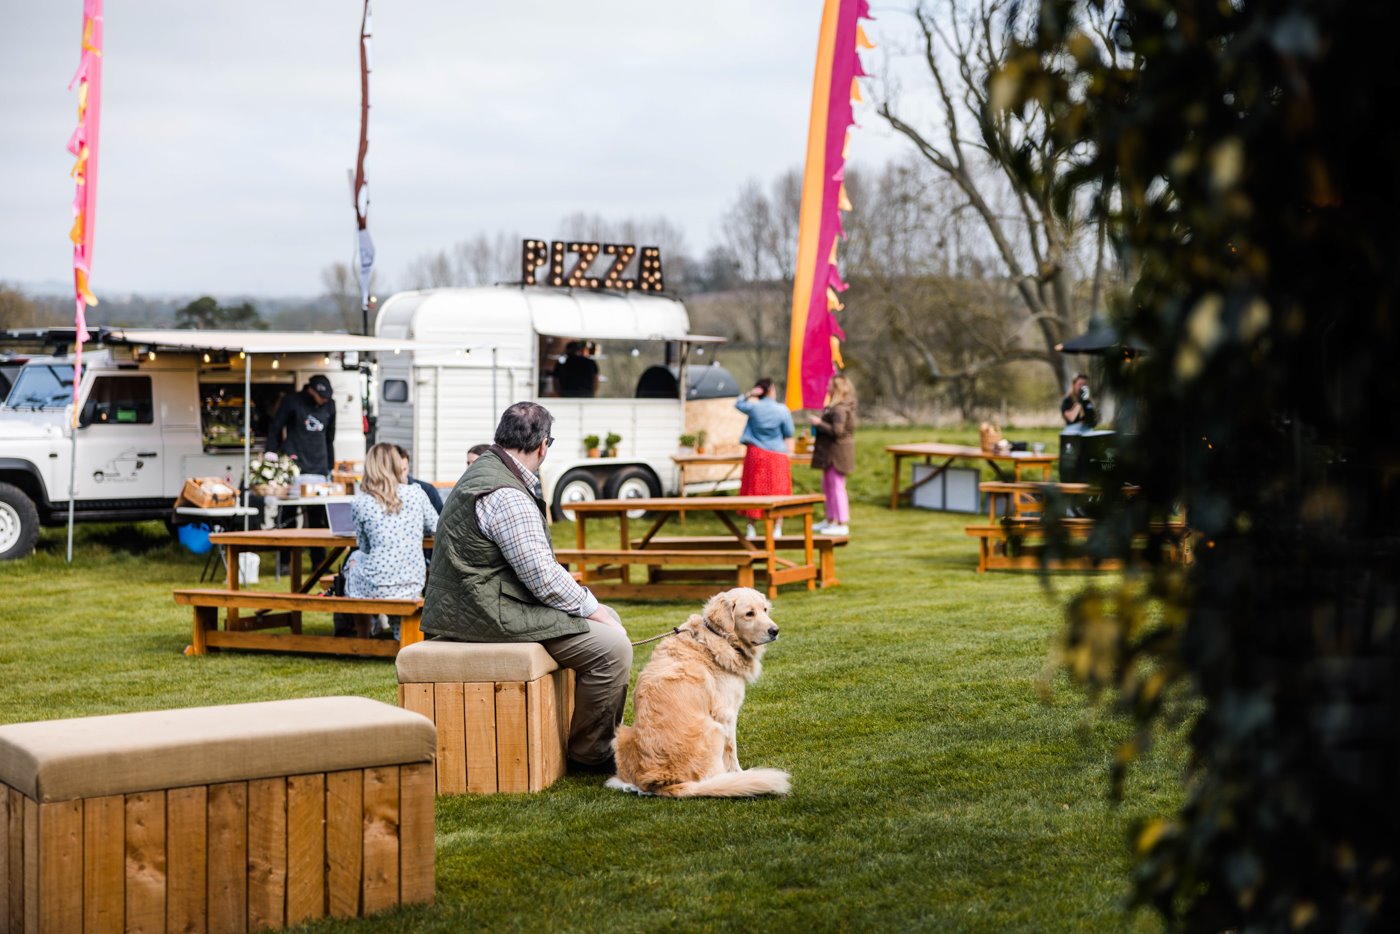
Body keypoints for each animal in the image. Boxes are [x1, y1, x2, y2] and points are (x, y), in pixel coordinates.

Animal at [607, 590, 795, 795]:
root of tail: (661, 782)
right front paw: (739, 772)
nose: (775, 631)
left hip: (620, 734)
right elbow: (732, 751)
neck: (718, 637)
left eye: (765, 609)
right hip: (715, 730)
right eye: (749, 614)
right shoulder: (726, 713)